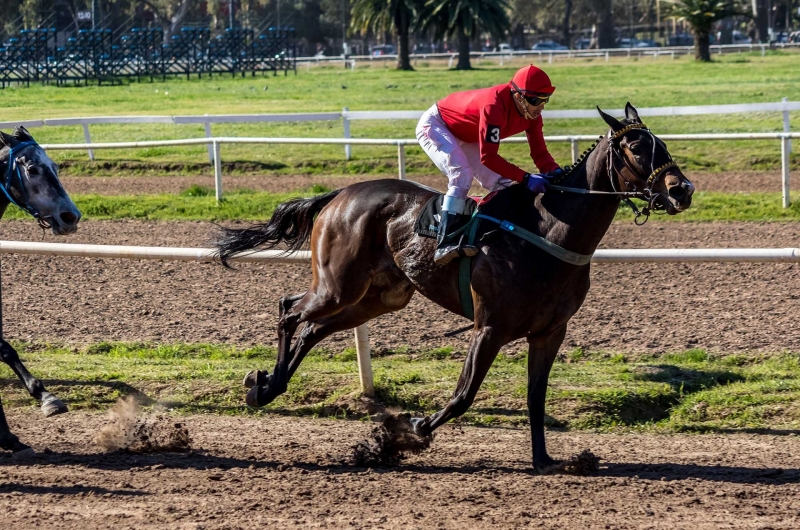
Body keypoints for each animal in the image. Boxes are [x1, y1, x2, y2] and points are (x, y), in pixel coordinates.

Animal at [217, 104, 692, 470]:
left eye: (663, 144)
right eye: (636, 147)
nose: (681, 189)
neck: (550, 233)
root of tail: (339, 194)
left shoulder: (550, 332)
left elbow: (536, 397)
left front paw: (546, 460)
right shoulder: (490, 327)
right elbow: (464, 394)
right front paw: (405, 432)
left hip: (378, 298)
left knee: (313, 328)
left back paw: (270, 385)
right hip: (338, 286)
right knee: (289, 309)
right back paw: (264, 385)